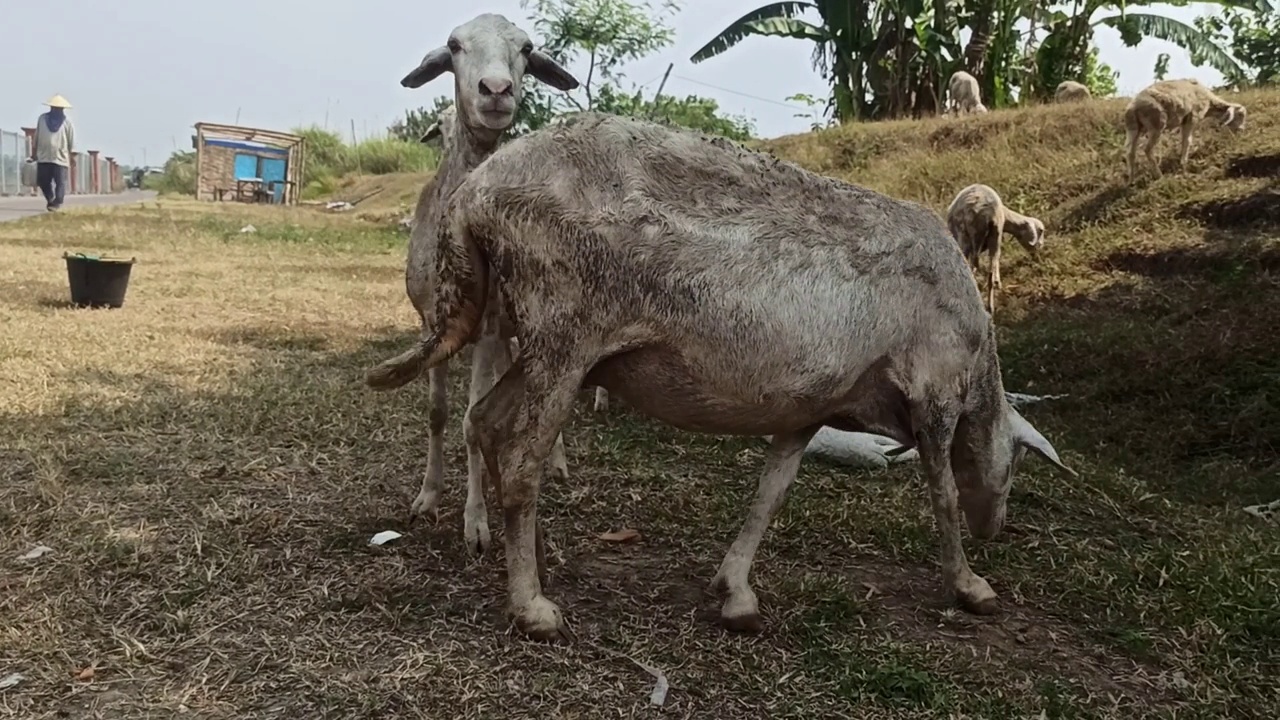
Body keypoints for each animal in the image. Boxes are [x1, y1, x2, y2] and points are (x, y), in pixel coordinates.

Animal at [391, 11, 578, 550]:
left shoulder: (488, 328)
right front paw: (427, 498)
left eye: (527, 48)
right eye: (454, 45)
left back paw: (556, 462)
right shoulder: (432, 322)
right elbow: (439, 413)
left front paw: (475, 522)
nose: (496, 90)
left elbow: (472, 422)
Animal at [947, 181, 1044, 313]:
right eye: (1041, 231)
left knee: (980, 272)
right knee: (988, 272)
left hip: (972, 240)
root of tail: (984, 213)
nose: (1038, 255)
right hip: (989, 236)